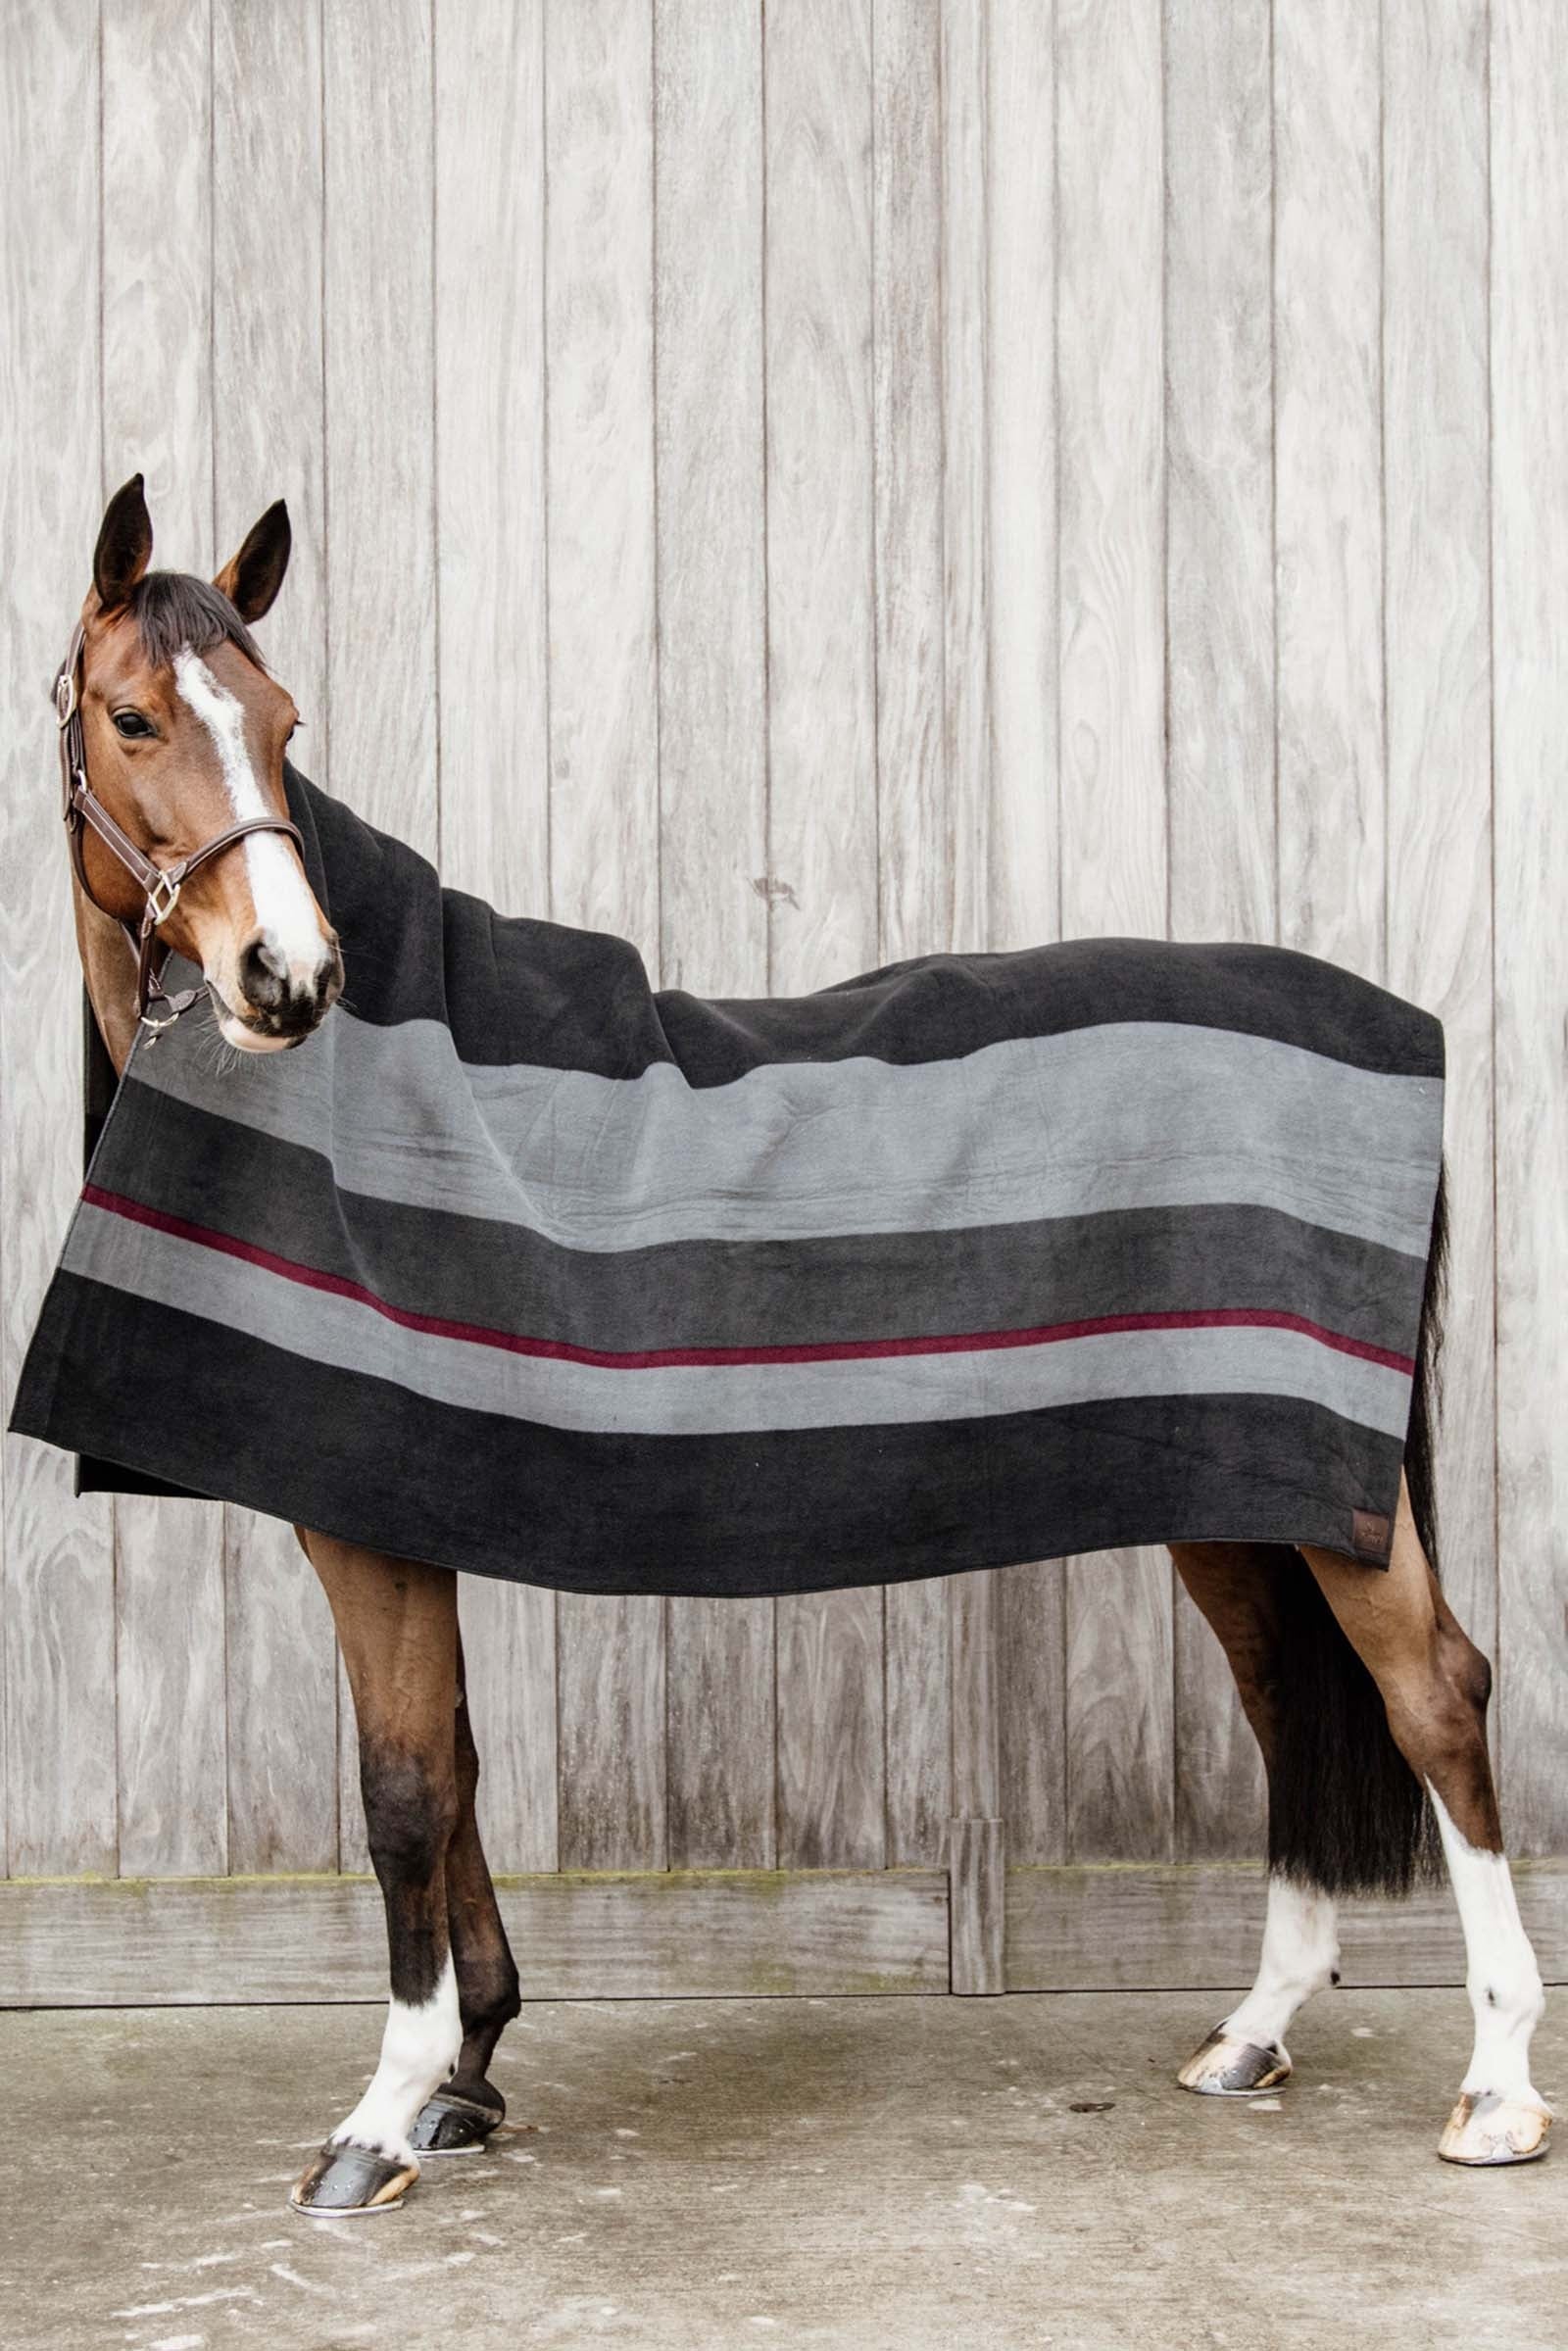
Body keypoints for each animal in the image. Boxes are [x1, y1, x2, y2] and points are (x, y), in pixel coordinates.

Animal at [31, 474, 1548, 2216]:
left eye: (282, 723)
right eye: (135, 715)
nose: (291, 975)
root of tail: (1397, 1028)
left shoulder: (370, 1522)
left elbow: (403, 1793)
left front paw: (383, 2112)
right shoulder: (417, 1501)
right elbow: (460, 1767)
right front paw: (470, 2072)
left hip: (1329, 1502)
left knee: (1436, 1692)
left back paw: (1500, 2082)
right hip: (1231, 1496)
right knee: (1290, 1702)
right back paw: (1254, 2030)